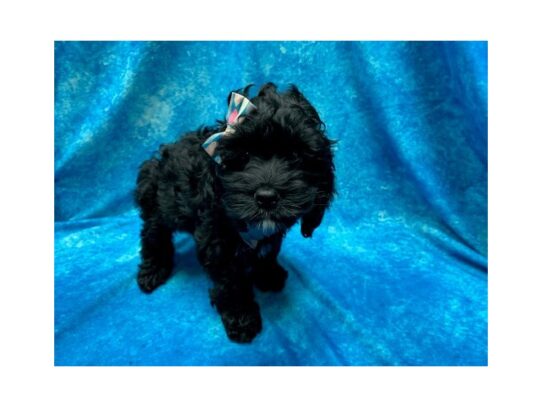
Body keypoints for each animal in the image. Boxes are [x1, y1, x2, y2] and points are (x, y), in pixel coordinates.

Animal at [135, 83, 336, 344]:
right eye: (245, 156)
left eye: (294, 156)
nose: (267, 197)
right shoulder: (216, 239)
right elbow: (231, 283)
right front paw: (242, 318)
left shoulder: (269, 235)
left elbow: (268, 251)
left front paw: (268, 274)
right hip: (162, 203)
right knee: (153, 233)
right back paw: (153, 270)